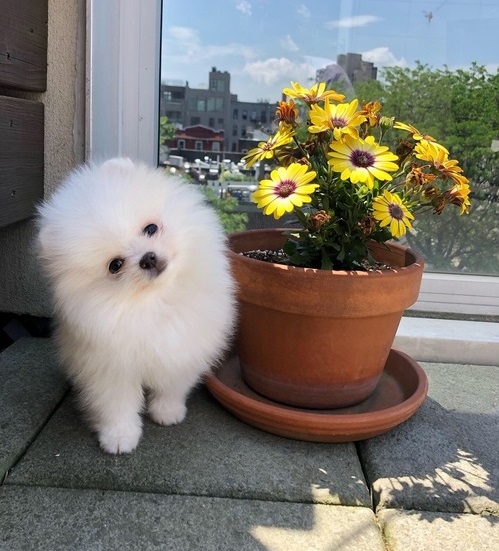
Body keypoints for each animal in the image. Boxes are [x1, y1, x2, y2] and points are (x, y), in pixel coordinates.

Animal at [37, 157, 236, 454]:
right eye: (115, 265)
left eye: (150, 228)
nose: (148, 258)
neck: (156, 301)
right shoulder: (110, 367)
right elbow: (116, 405)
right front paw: (119, 437)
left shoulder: (182, 349)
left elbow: (172, 386)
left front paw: (167, 412)